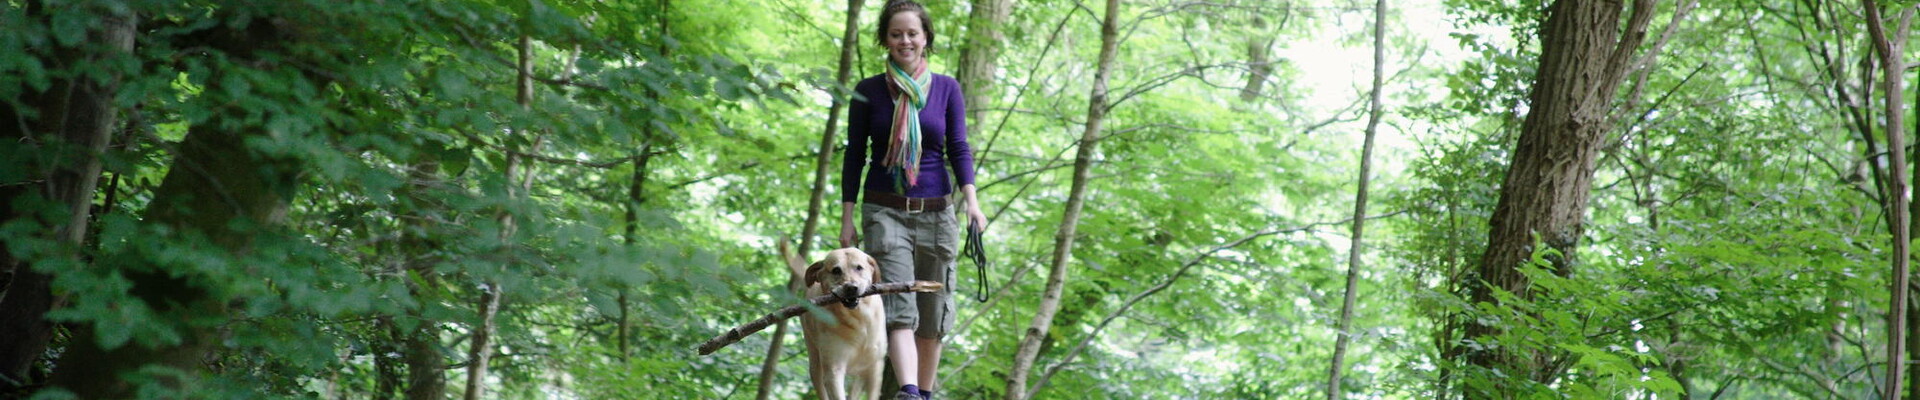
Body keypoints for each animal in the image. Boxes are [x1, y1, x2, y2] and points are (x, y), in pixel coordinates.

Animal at [791, 246, 887, 400]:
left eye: (859, 268)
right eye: (836, 270)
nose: (851, 287)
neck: (858, 319)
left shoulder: (875, 368)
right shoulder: (834, 370)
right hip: (815, 361)